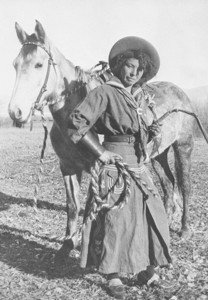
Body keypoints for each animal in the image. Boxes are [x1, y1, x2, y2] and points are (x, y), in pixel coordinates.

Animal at [8, 19, 197, 262]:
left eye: (39, 65)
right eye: (15, 64)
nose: (15, 112)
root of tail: (181, 94)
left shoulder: (97, 167)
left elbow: (95, 206)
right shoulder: (67, 167)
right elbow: (73, 206)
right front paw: (67, 245)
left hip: (183, 147)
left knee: (185, 185)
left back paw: (184, 229)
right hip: (158, 155)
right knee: (168, 183)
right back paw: (167, 219)